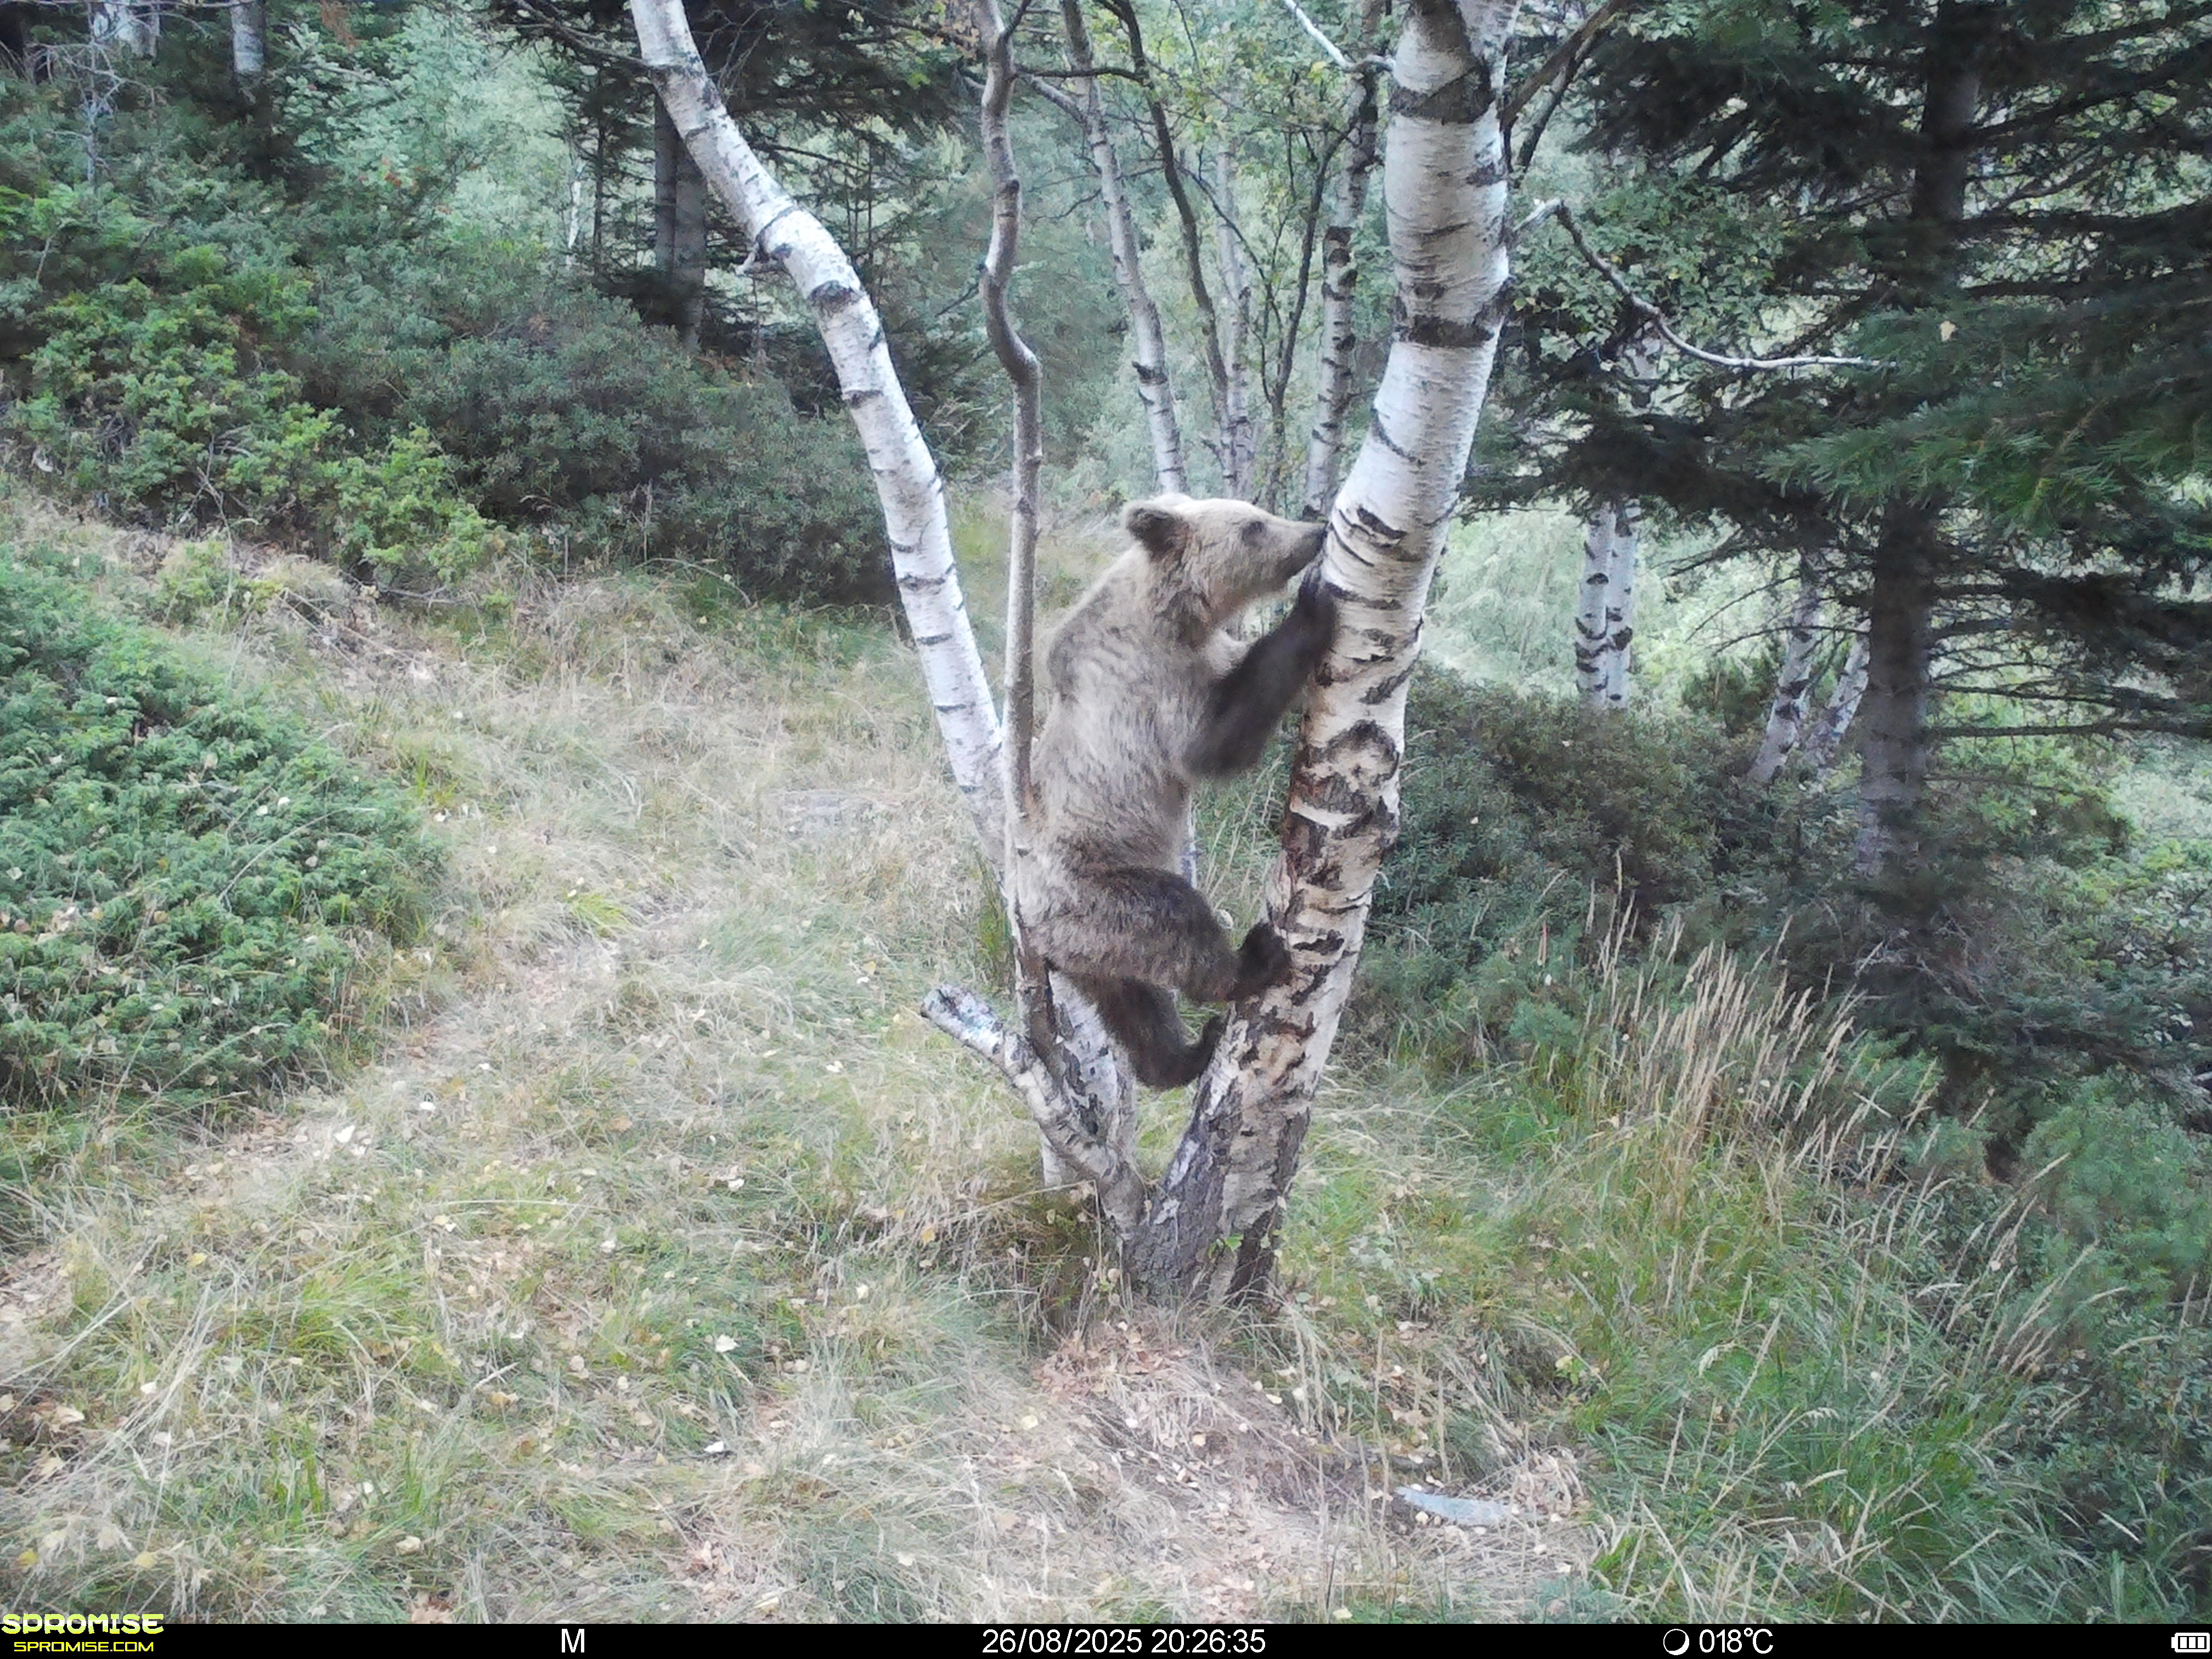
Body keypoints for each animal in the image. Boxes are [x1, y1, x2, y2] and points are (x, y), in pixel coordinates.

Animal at [1014, 493, 1338, 1088]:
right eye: (1253, 526)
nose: (1314, 533)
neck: (1178, 618)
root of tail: (1033, 928)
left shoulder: (1205, 654)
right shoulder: (1151, 686)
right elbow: (1215, 742)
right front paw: (1311, 607)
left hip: (1091, 951)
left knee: (1135, 1005)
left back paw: (1179, 1057)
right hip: (1099, 895)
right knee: (1177, 922)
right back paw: (1250, 963)